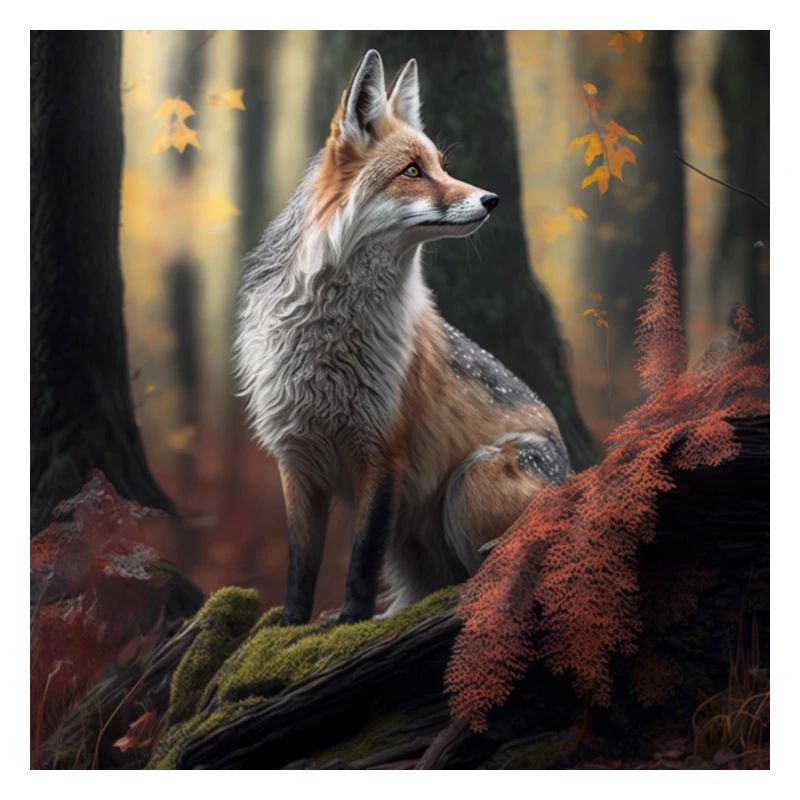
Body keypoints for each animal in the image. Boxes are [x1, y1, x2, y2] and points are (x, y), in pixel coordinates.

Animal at [234, 50, 571, 625]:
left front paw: (349, 620)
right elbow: (302, 559)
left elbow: (362, 555)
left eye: (441, 165)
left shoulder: (383, 449)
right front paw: (293, 624)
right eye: (413, 171)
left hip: (470, 480)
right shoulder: (295, 454)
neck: (330, 345)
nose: (493, 198)